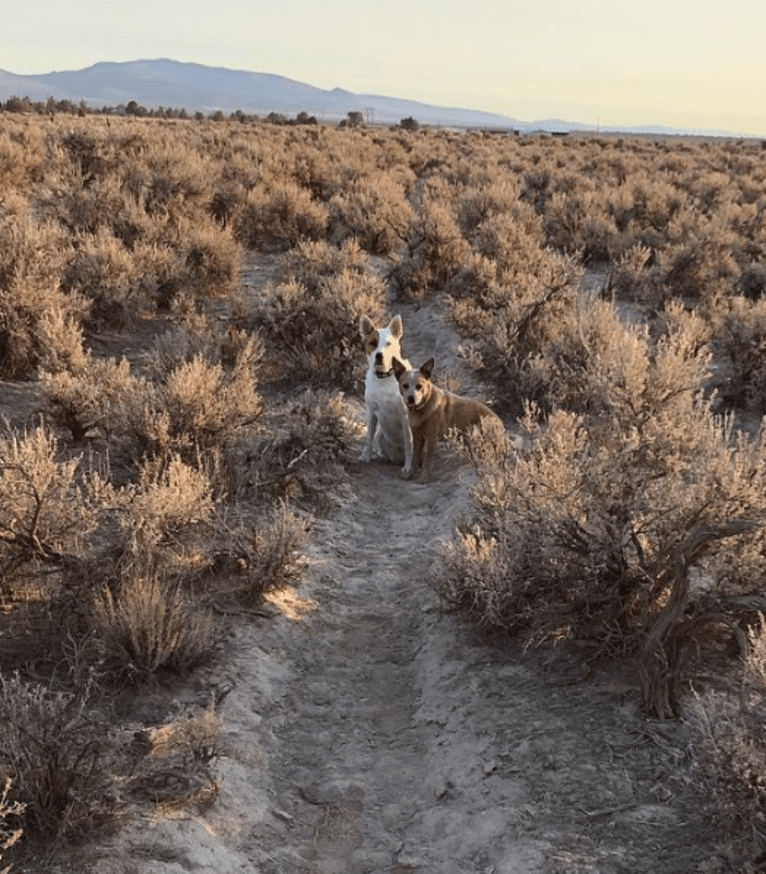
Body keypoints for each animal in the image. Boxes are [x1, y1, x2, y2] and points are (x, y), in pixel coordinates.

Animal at [360, 316, 414, 476]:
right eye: (372, 343)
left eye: (388, 343)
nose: (379, 355)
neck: (383, 377)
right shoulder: (371, 412)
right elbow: (369, 437)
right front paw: (366, 456)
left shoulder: (405, 416)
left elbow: (409, 444)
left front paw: (408, 467)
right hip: (381, 435)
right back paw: (383, 457)